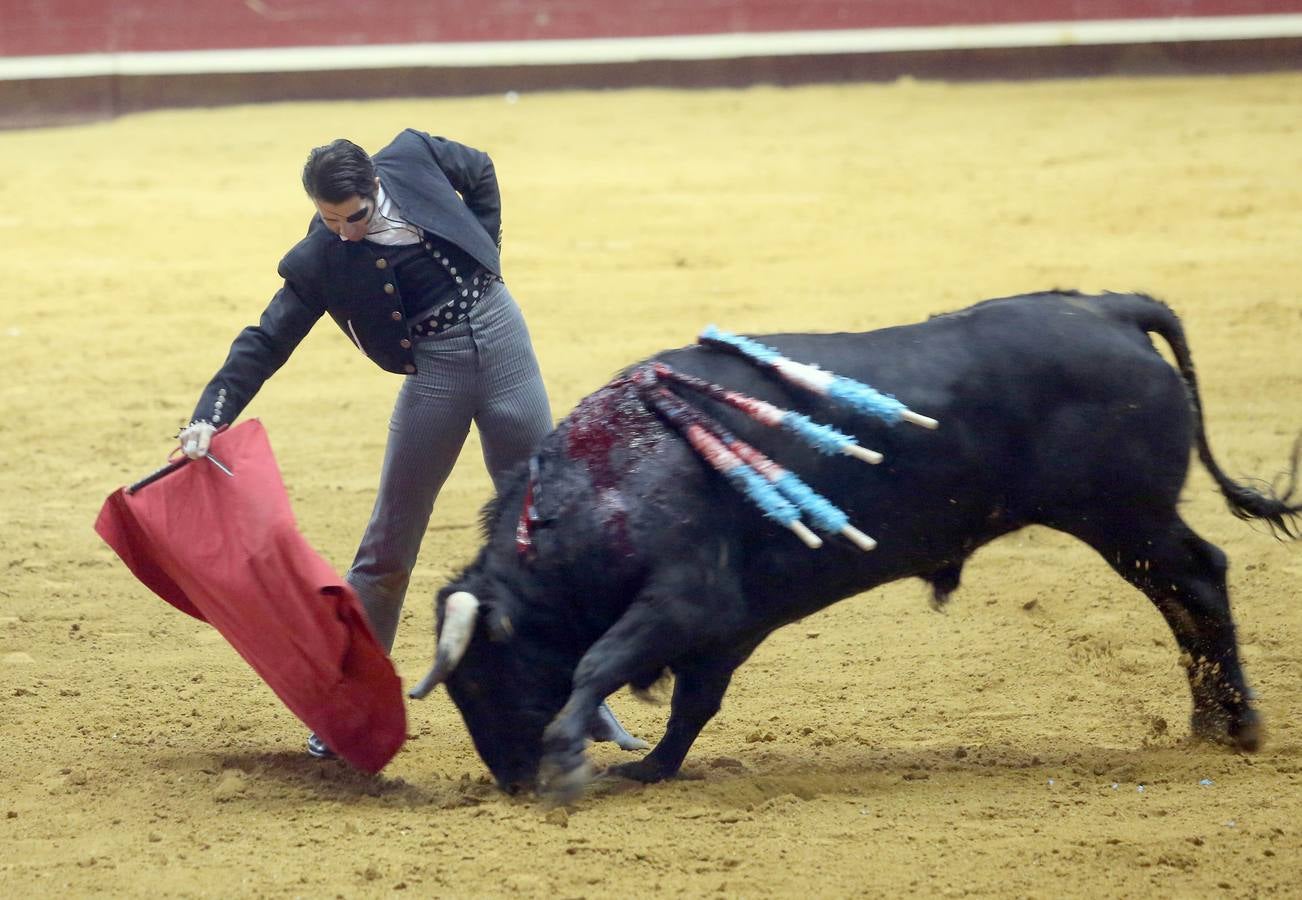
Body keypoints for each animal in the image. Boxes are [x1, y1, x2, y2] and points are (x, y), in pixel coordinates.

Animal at [411, 291, 1296, 791]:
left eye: (479, 678)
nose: (514, 781)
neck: (606, 483)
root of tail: (1111, 308)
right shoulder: (723, 628)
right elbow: (695, 701)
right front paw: (653, 768)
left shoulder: (685, 601)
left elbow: (598, 662)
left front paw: (569, 752)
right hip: (1125, 524)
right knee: (1180, 599)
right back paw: (1212, 723)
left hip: (1126, 517)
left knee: (1199, 581)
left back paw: (1238, 724)